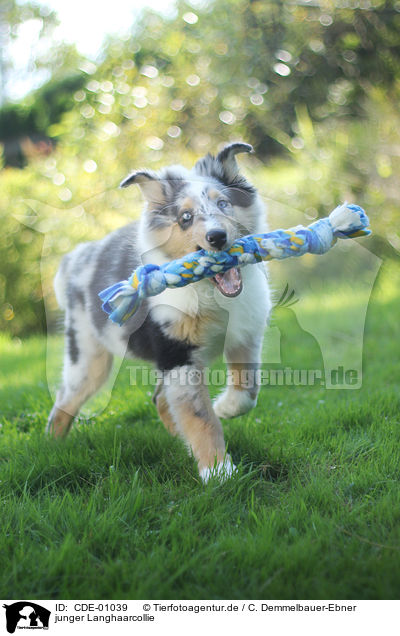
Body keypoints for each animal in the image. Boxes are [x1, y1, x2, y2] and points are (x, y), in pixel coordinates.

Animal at [47, 143, 272, 482]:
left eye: (223, 204)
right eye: (185, 218)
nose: (217, 237)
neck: (207, 291)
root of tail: (74, 259)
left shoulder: (244, 335)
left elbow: (247, 390)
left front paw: (225, 408)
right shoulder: (176, 352)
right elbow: (200, 417)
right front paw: (218, 473)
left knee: (159, 399)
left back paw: (180, 442)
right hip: (87, 356)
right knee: (64, 401)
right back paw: (50, 449)